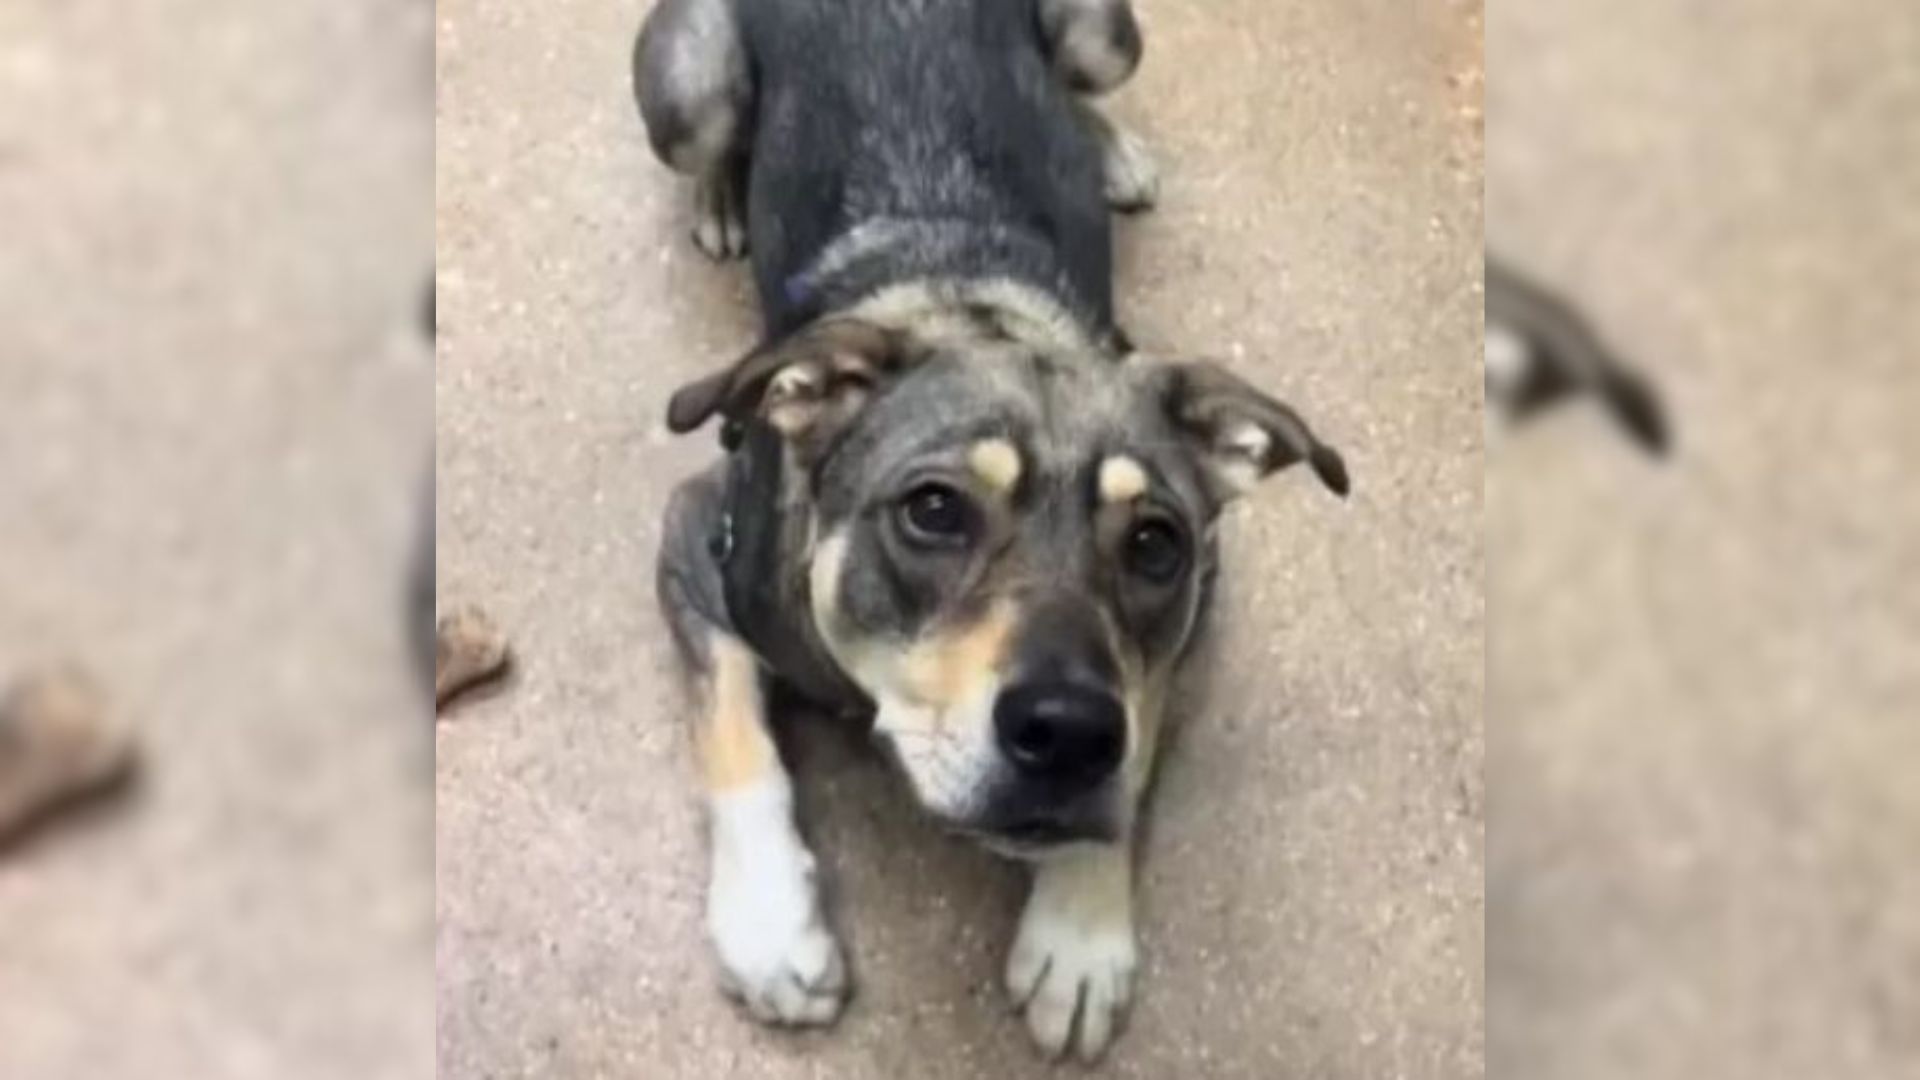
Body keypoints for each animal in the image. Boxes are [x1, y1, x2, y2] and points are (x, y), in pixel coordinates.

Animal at [637, 0, 1344, 1053]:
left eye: (1157, 545)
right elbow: (736, 739)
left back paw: (1111, 154)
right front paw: (770, 928)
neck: (966, 309)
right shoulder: (697, 543)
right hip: (693, 87)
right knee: (711, 139)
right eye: (933, 511)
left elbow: (1135, 742)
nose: (1067, 735)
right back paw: (720, 198)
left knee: (1081, 85)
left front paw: (1078, 935)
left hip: (1105, 36)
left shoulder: (1198, 605)